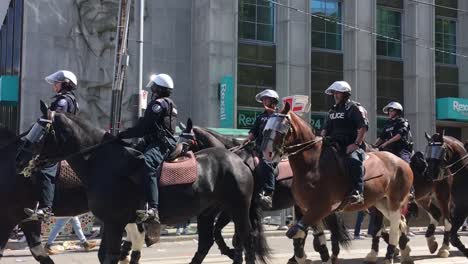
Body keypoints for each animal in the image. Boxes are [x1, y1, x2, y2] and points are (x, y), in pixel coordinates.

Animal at [15, 101, 270, 264]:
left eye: (39, 129)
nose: (19, 158)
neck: (101, 161)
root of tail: (238, 159)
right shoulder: (114, 222)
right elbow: (108, 255)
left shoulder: (115, 222)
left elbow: (110, 256)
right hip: (208, 212)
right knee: (207, 242)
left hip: (238, 208)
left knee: (246, 241)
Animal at [179, 119, 352, 264]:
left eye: (186, 144)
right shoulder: (236, 209)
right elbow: (229, 235)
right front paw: (233, 254)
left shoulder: (235, 209)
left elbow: (233, 235)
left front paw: (234, 254)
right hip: (302, 205)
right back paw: (300, 256)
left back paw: (327, 253)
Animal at [264, 102, 414, 264]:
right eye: (266, 126)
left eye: (281, 128)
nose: (267, 153)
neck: (312, 165)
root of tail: (401, 161)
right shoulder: (307, 209)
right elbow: (314, 238)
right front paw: (318, 257)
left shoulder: (321, 208)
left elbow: (296, 232)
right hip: (380, 202)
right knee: (398, 222)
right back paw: (400, 251)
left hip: (395, 201)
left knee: (393, 225)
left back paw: (389, 254)